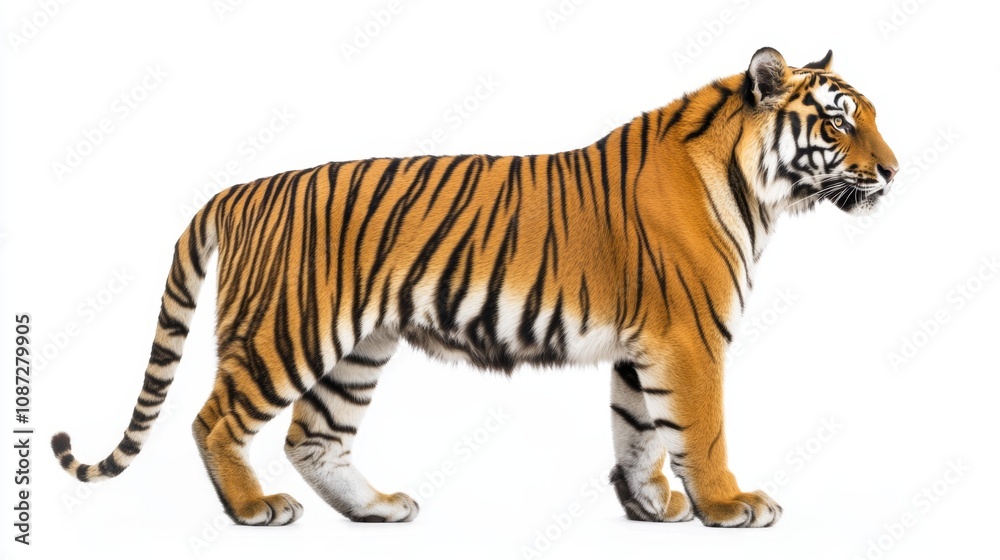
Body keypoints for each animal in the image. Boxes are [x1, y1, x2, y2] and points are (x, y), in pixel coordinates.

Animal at [51, 47, 897, 528]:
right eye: (838, 123)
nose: (893, 169)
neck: (756, 187)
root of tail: (239, 190)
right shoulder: (690, 337)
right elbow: (702, 428)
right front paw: (729, 504)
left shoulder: (646, 342)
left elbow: (638, 430)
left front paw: (651, 505)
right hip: (287, 333)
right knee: (215, 418)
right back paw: (253, 508)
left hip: (359, 347)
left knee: (312, 437)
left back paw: (377, 509)